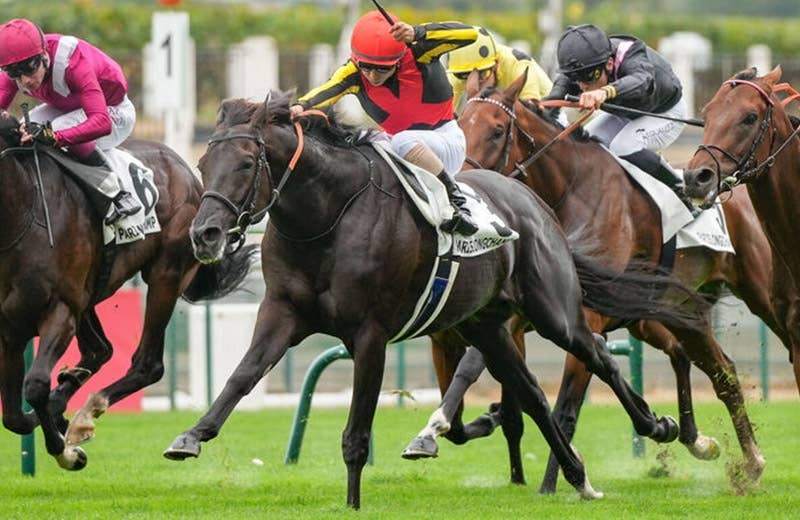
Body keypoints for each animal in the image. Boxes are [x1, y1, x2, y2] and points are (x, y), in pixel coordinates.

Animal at [0, 115, 255, 471]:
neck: (21, 214)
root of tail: (185, 169)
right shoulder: (10, 328)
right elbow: (13, 416)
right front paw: (57, 416)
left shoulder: (59, 311)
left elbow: (35, 387)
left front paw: (66, 450)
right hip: (89, 296)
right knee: (100, 350)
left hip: (165, 275)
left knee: (147, 364)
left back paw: (82, 412)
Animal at [160, 92, 710, 509]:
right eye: (204, 162)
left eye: (246, 163)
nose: (205, 235)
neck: (328, 216)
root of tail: (535, 202)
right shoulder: (283, 312)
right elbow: (243, 375)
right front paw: (190, 436)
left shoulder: (370, 333)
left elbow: (357, 432)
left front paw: (354, 502)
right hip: (487, 326)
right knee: (533, 395)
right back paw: (578, 475)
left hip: (554, 312)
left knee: (598, 357)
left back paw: (659, 426)